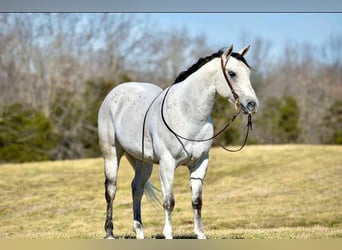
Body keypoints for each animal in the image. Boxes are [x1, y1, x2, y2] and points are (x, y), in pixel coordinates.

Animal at [97, 44, 258, 238]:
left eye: (248, 72)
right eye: (232, 73)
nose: (252, 104)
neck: (187, 113)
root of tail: (116, 92)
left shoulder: (200, 163)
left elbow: (196, 201)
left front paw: (200, 234)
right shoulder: (167, 164)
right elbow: (169, 202)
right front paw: (168, 234)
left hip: (144, 162)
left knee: (137, 188)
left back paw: (139, 231)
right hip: (111, 153)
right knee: (111, 190)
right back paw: (109, 232)